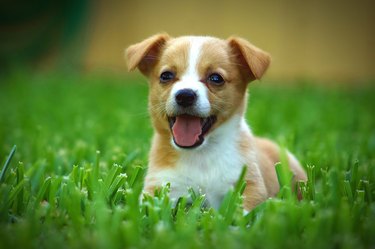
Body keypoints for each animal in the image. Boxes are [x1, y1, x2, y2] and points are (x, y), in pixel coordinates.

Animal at [126, 34, 308, 211]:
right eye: (166, 76)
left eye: (215, 78)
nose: (185, 95)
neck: (201, 155)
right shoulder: (162, 186)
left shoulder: (248, 186)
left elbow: (242, 214)